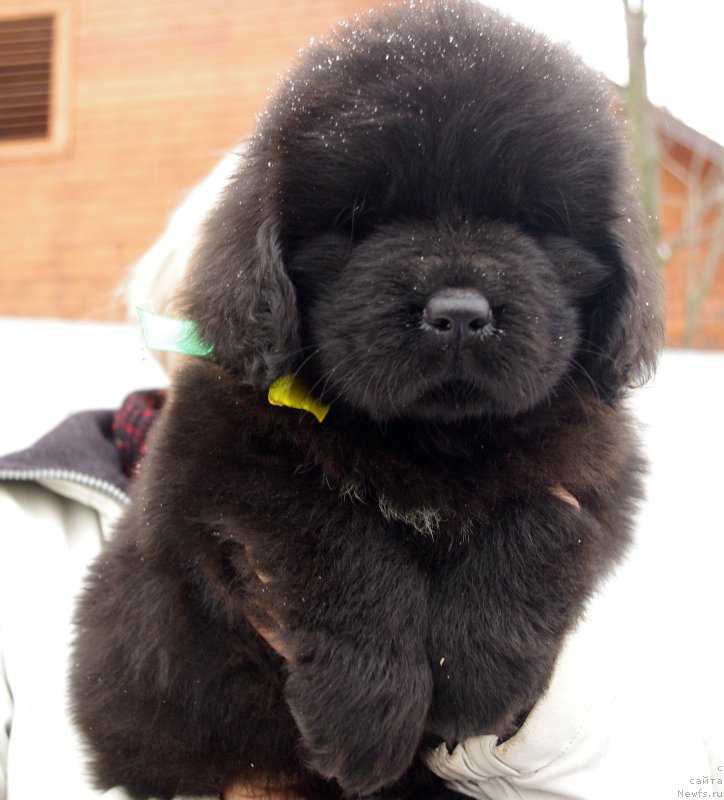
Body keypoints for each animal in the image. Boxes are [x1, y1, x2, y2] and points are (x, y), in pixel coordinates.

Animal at [72, 1, 660, 800]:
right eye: (361, 222)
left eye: (535, 220)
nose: (459, 313)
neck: (428, 438)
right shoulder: (224, 469)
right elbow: (342, 547)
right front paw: (368, 713)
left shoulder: (594, 471)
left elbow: (536, 528)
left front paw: (473, 676)